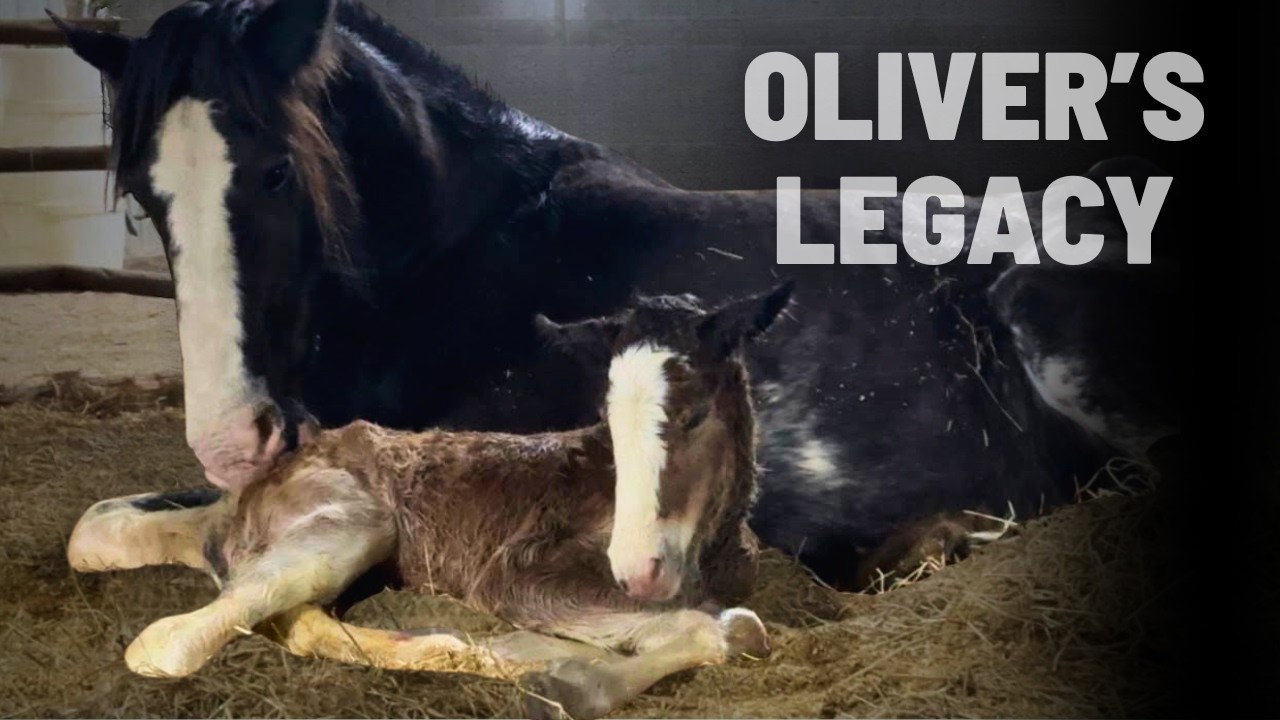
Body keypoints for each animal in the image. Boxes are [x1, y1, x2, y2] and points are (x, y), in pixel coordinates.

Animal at [68, 285, 790, 720]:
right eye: (607, 417)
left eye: (693, 415)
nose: (637, 570)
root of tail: (245, 494)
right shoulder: (520, 573)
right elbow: (733, 628)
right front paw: (571, 679)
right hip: (357, 523)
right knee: (170, 641)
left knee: (300, 621)